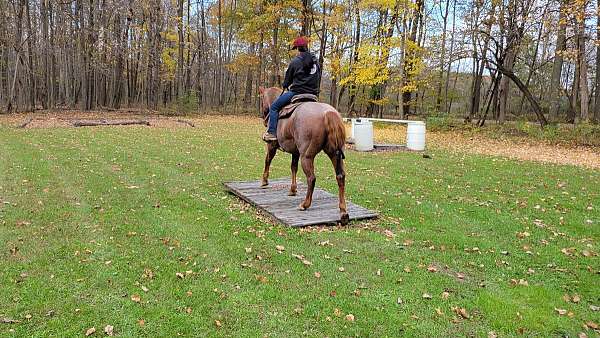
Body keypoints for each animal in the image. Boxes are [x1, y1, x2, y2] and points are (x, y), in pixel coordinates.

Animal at [258, 86, 352, 226]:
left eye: (262, 100)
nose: (263, 117)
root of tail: (329, 114)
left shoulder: (271, 146)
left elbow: (267, 161)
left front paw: (264, 181)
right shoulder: (296, 152)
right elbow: (293, 168)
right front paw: (293, 190)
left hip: (306, 157)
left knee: (311, 178)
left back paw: (305, 204)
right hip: (335, 155)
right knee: (340, 177)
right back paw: (343, 212)